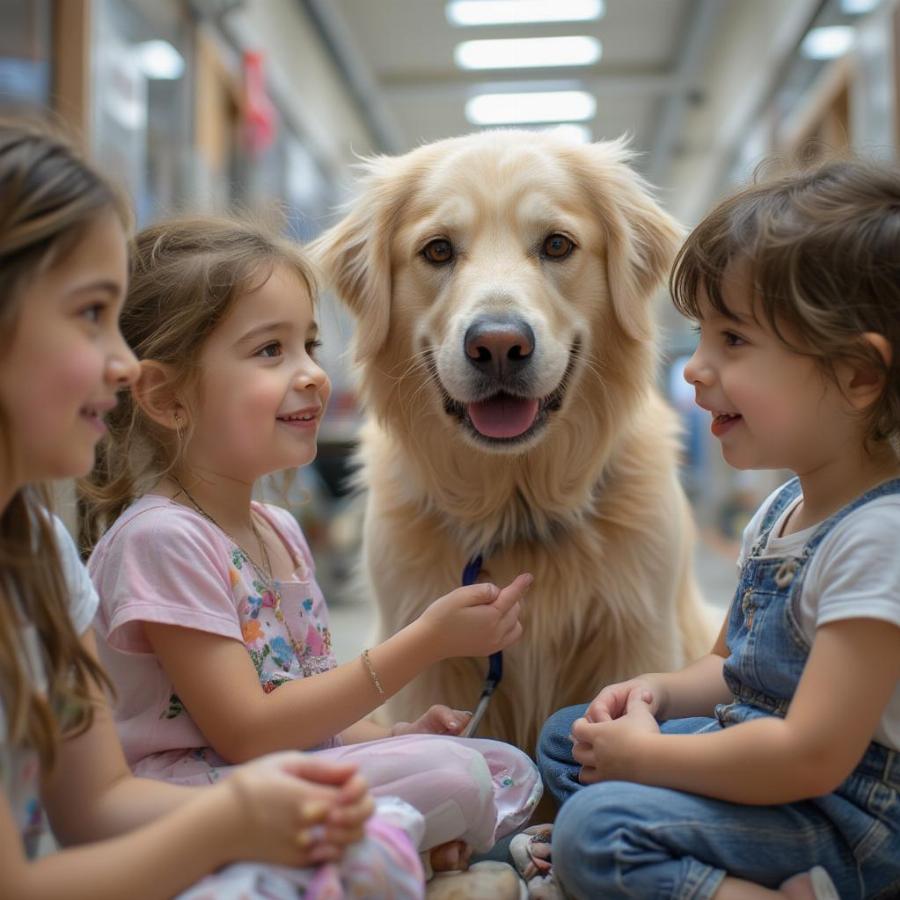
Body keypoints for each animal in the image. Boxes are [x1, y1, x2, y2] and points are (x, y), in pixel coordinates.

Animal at [312, 128, 712, 752]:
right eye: (438, 251)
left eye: (556, 245)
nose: (498, 345)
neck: (514, 505)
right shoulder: (429, 663)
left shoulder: (637, 637)